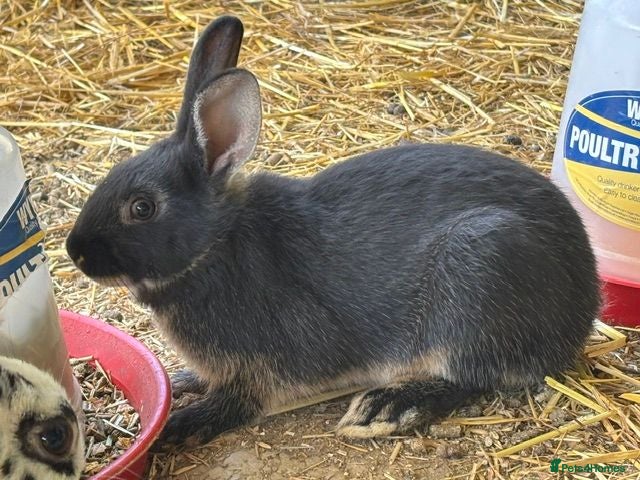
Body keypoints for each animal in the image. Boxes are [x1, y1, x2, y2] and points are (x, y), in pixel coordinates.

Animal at [65, 15, 600, 449]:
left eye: (142, 207)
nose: (76, 252)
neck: (214, 245)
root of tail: (583, 307)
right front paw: (180, 380)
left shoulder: (259, 367)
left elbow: (237, 403)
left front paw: (182, 424)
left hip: (478, 272)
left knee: (473, 376)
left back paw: (385, 408)